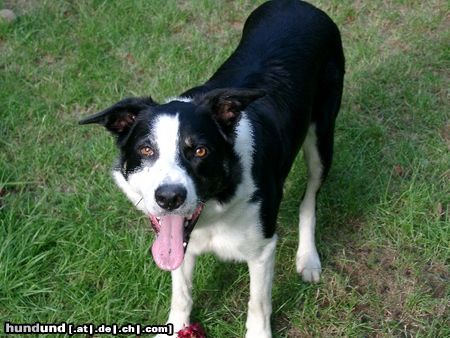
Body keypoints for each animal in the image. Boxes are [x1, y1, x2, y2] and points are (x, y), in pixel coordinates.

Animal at [79, 1, 344, 336]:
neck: (216, 207)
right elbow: (181, 292)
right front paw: (176, 326)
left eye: (200, 150)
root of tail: (299, 5)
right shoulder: (180, 243)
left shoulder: (262, 249)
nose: (170, 198)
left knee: (310, 196)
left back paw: (308, 258)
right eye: (146, 150)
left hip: (322, 135)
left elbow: (258, 303)